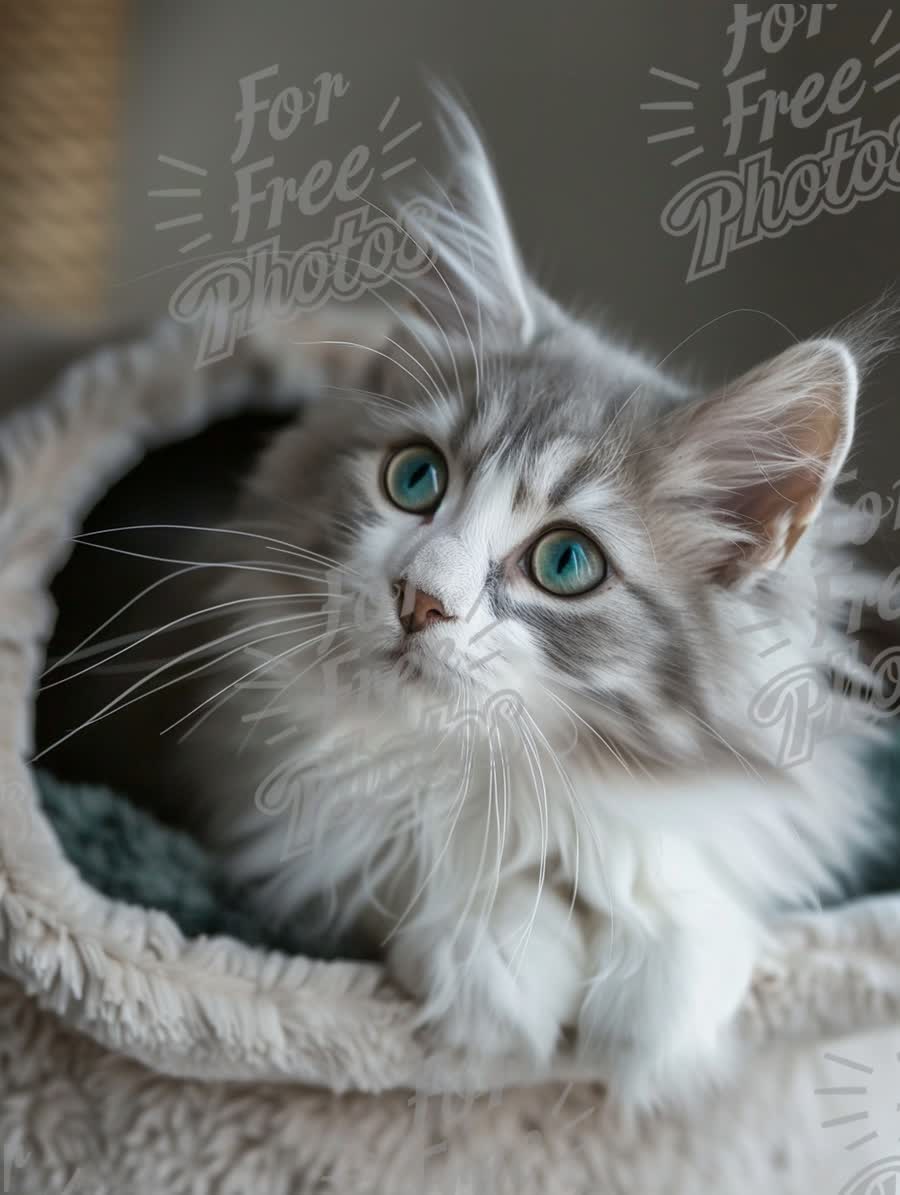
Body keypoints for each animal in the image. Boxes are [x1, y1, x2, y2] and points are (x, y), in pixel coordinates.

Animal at [190, 95, 884, 1108]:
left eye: (565, 562)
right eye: (415, 478)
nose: (420, 597)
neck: (510, 777)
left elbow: (675, 876)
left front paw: (659, 998)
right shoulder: (258, 811)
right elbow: (386, 843)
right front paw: (498, 952)